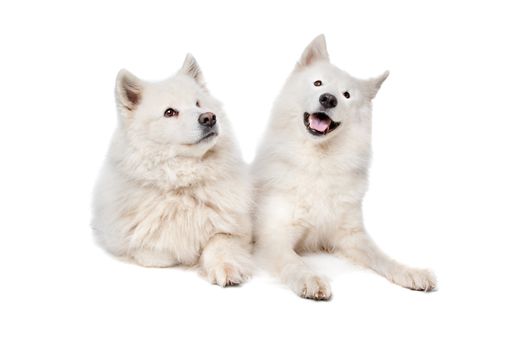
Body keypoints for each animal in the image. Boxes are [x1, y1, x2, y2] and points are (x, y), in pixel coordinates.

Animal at [91, 53, 252, 286]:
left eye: (198, 103)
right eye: (169, 112)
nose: (209, 117)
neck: (181, 184)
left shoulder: (235, 228)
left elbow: (219, 243)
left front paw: (226, 268)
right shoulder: (126, 239)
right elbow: (158, 252)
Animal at [252, 34, 436, 300]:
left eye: (346, 95)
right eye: (318, 83)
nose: (328, 99)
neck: (319, 162)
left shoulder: (350, 235)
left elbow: (381, 256)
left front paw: (409, 272)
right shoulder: (273, 237)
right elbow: (293, 262)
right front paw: (309, 278)